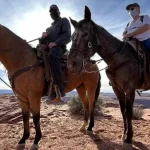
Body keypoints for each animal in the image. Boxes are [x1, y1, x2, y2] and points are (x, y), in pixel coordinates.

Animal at [67, 5, 148, 150]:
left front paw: (129, 138)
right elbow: (123, 110)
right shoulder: (117, 89)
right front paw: (124, 135)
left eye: (85, 34)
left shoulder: (130, 88)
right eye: (71, 37)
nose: (71, 64)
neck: (119, 58)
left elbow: (129, 112)